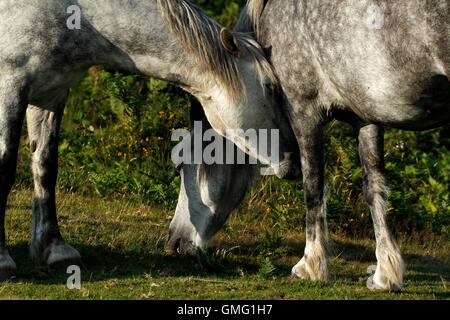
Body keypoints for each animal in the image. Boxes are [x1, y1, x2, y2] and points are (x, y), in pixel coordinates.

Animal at [0, 0, 302, 280]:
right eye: (271, 88)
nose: (294, 161)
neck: (77, 14)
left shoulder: (51, 95)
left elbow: (45, 169)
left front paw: (54, 250)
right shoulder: (10, 88)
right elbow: (6, 169)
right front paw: (4, 261)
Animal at [167, 0, 448, 292]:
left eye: (183, 163)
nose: (174, 243)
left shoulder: (305, 113)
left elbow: (313, 189)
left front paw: (311, 265)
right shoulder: (366, 117)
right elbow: (374, 188)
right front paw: (386, 273)